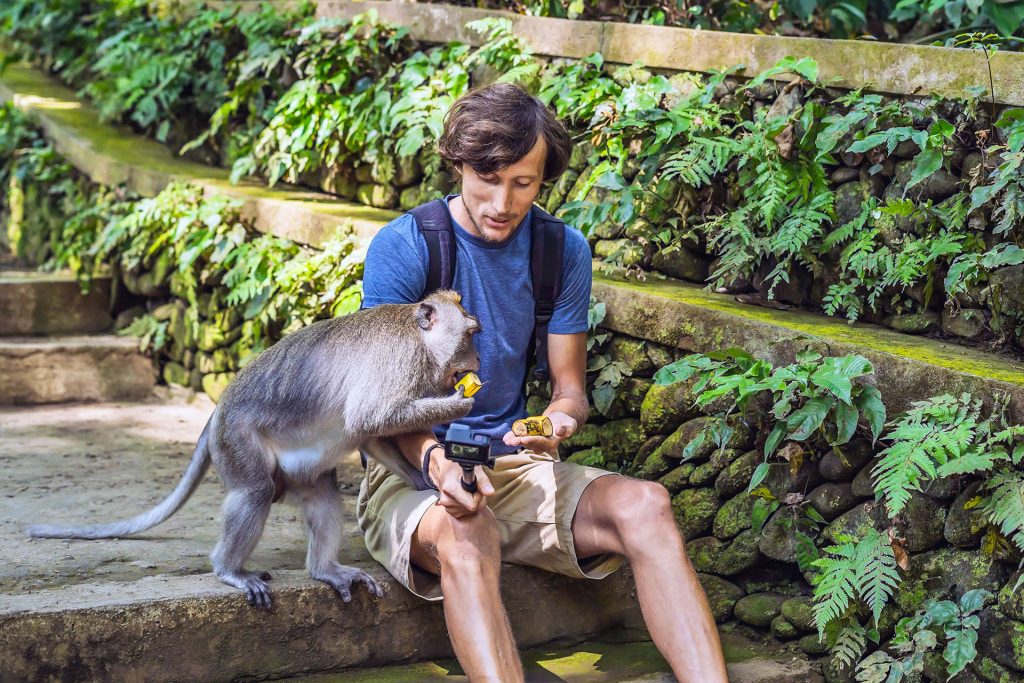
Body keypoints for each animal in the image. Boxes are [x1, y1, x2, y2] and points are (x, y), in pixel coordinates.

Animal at [27, 290, 483, 610]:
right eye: (471, 334)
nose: (479, 360)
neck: (419, 339)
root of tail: (217, 411)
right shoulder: (398, 361)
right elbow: (370, 417)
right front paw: (459, 404)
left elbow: (369, 434)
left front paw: (421, 479)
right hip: (236, 440)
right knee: (254, 492)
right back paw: (229, 570)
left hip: (297, 469)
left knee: (321, 495)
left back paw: (326, 570)